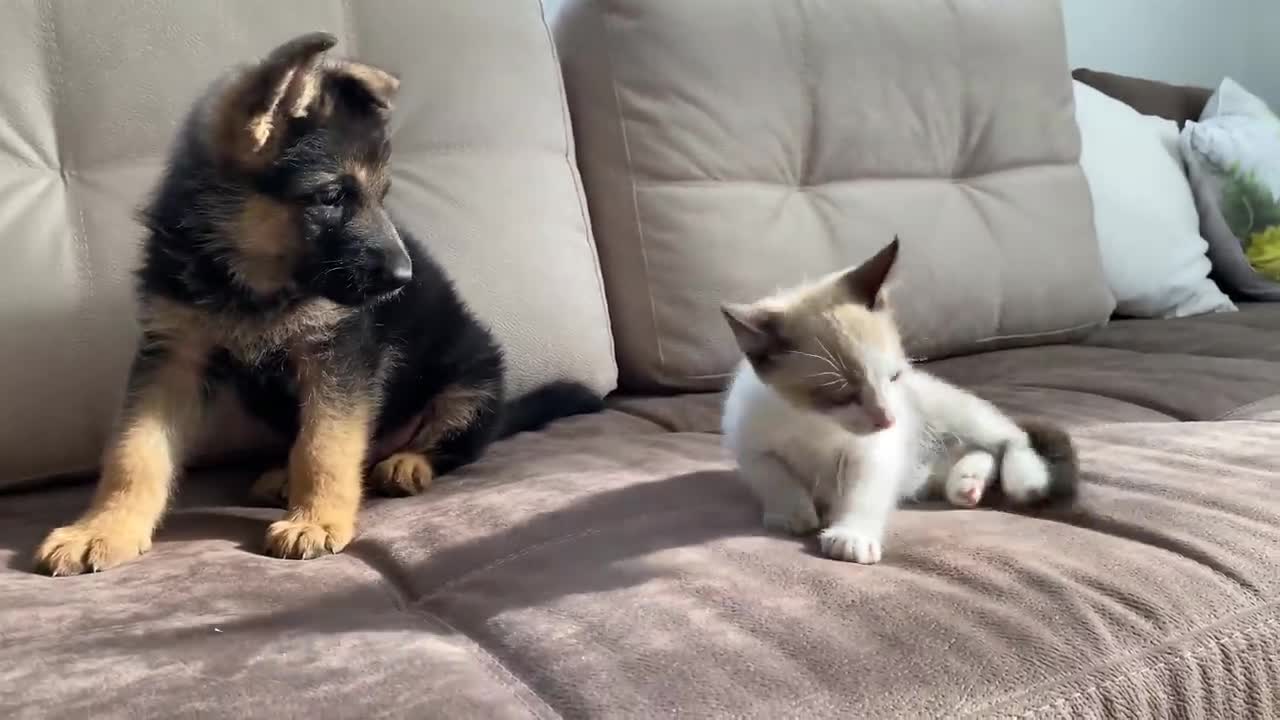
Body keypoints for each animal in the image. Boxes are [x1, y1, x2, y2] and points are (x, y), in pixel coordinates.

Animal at [32, 33, 601, 573]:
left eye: (381, 195)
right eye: (331, 196)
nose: (404, 279)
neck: (247, 281)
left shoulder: (338, 351)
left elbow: (326, 443)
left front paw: (318, 520)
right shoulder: (173, 353)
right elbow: (136, 451)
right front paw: (104, 529)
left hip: (472, 382)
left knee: (449, 444)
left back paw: (407, 464)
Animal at [727, 238, 1075, 563]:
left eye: (893, 377)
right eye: (842, 395)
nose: (888, 420)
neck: (816, 424)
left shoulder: (873, 453)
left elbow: (863, 493)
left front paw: (851, 535)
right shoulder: (750, 444)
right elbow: (774, 477)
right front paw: (792, 514)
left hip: (952, 415)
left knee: (1010, 438)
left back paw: (1021, 478)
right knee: (979, 452)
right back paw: (966, 485)